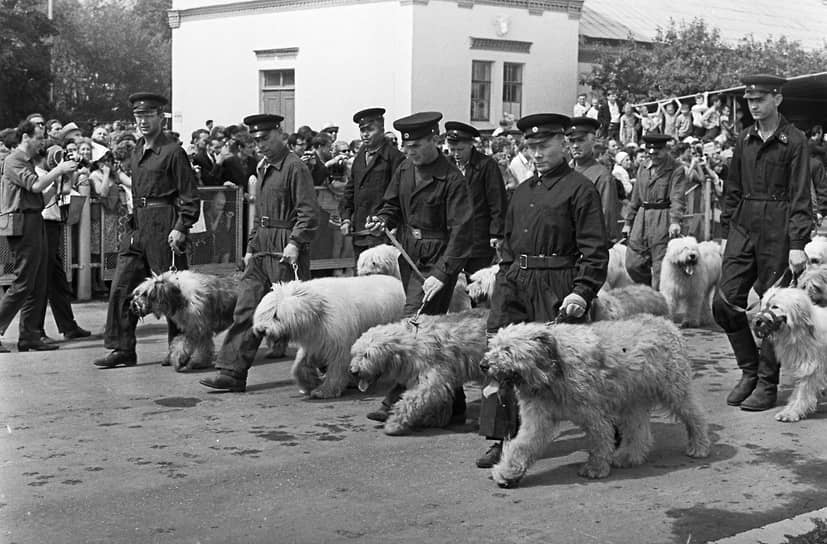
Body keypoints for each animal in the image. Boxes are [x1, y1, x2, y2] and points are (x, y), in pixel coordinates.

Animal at [254, 276, 406, 400]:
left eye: (276, 315)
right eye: (263, 314)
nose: (261, 330)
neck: (318, 310)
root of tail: (396, 281)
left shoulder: (339, 343)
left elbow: (336, 368)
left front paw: (324, 391)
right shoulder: (314, 342)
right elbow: (300, 366)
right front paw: (310, 384)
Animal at [350, 308, 492, 436]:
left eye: (367, 355)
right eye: (356, 353)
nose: (353, 371)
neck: (410, 343)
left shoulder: (430, 380)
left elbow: (410, 401)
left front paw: (394, 424)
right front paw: (435, 419)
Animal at [486, 314, 712, 488]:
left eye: (507, 349)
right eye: (493, 346)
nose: (482, 364)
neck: (552, 370)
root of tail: (666, 322)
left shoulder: (592, 412)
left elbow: (600, 438)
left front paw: (595, 468)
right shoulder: (538, 418)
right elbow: (522, 445)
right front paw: (507, 472)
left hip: (674, 390)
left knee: (695, 416)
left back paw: (699, 445)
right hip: (632, 399)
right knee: (638, 430)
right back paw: (628, 456)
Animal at [752, 286, 827, 422]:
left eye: (775, 307)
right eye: (764, 306)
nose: (757, 321)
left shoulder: (810, 367)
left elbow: (802, 392)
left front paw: (792, 412)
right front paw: (790, 410)